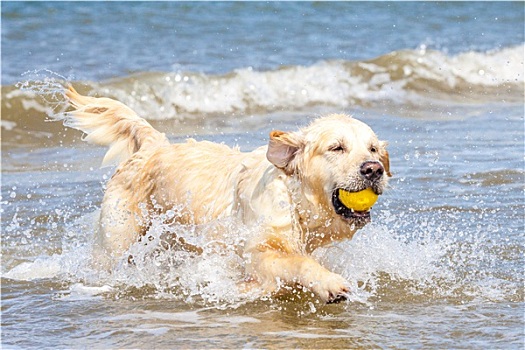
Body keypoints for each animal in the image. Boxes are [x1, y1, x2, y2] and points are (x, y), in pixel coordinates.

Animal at [60, 86, 388, 302]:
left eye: (372, 149)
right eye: (336, 147)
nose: (374, 169)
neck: (296, 203)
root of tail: (155, 145)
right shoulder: (257, 252)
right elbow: (296, 262)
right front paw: (329, 283)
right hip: (117, 238)